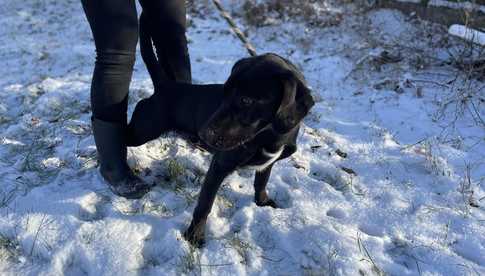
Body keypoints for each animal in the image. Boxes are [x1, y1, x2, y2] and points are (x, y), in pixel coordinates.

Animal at [127, 16, 314, 246]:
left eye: (246, 100)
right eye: (224, 93)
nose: (204, 134)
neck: (270, 136)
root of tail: (165, 85)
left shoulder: (267, 164)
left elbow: (261, 183)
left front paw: (262, 202)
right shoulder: (218, 167)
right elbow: (204, 205)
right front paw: (194, 235)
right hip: (141, 131)